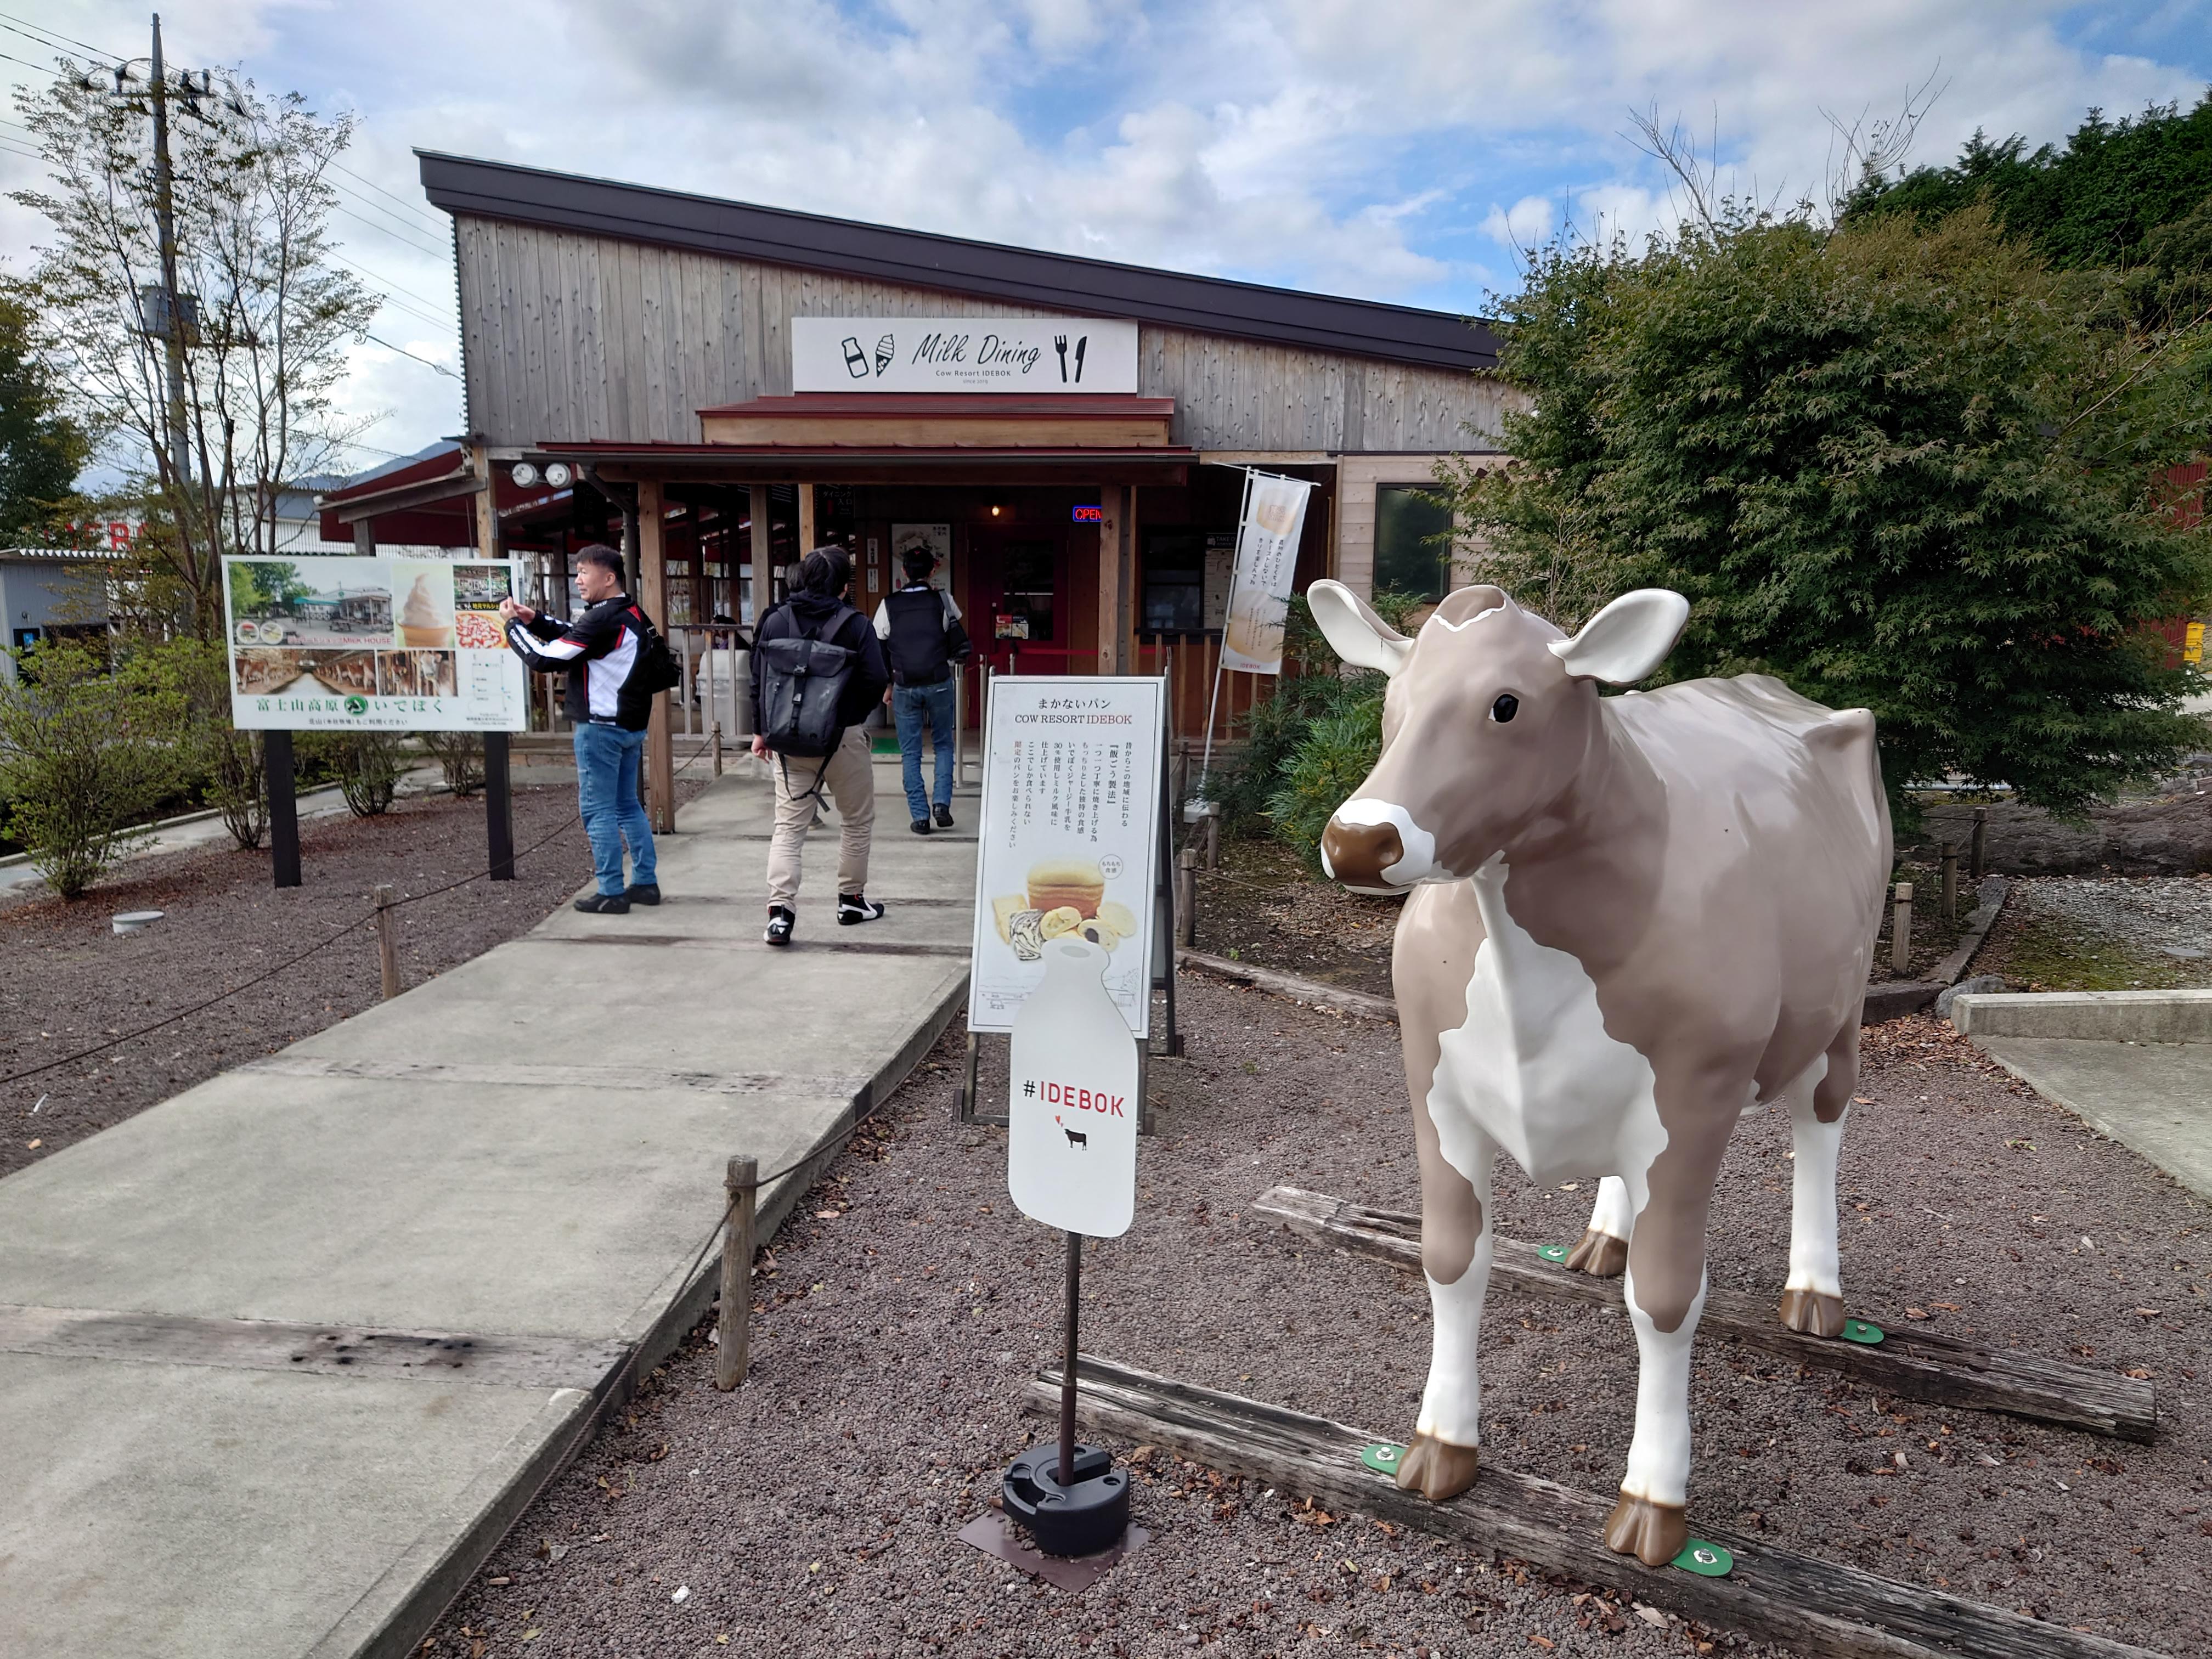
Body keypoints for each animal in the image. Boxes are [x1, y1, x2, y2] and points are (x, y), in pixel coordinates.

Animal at [1300, 579, 1893, 1566]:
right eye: (1393, 700)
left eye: (1507, 704)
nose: (1358, 839)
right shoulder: (1431, 1084)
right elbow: (1452, 1258)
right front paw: (1439, 1443)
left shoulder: (1694, 1094)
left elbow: (1664, 1298)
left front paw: (1654, 1499)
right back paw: (1604, 1235)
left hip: (1843, 1009)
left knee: (1823, 1124)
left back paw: (1815, 1289)